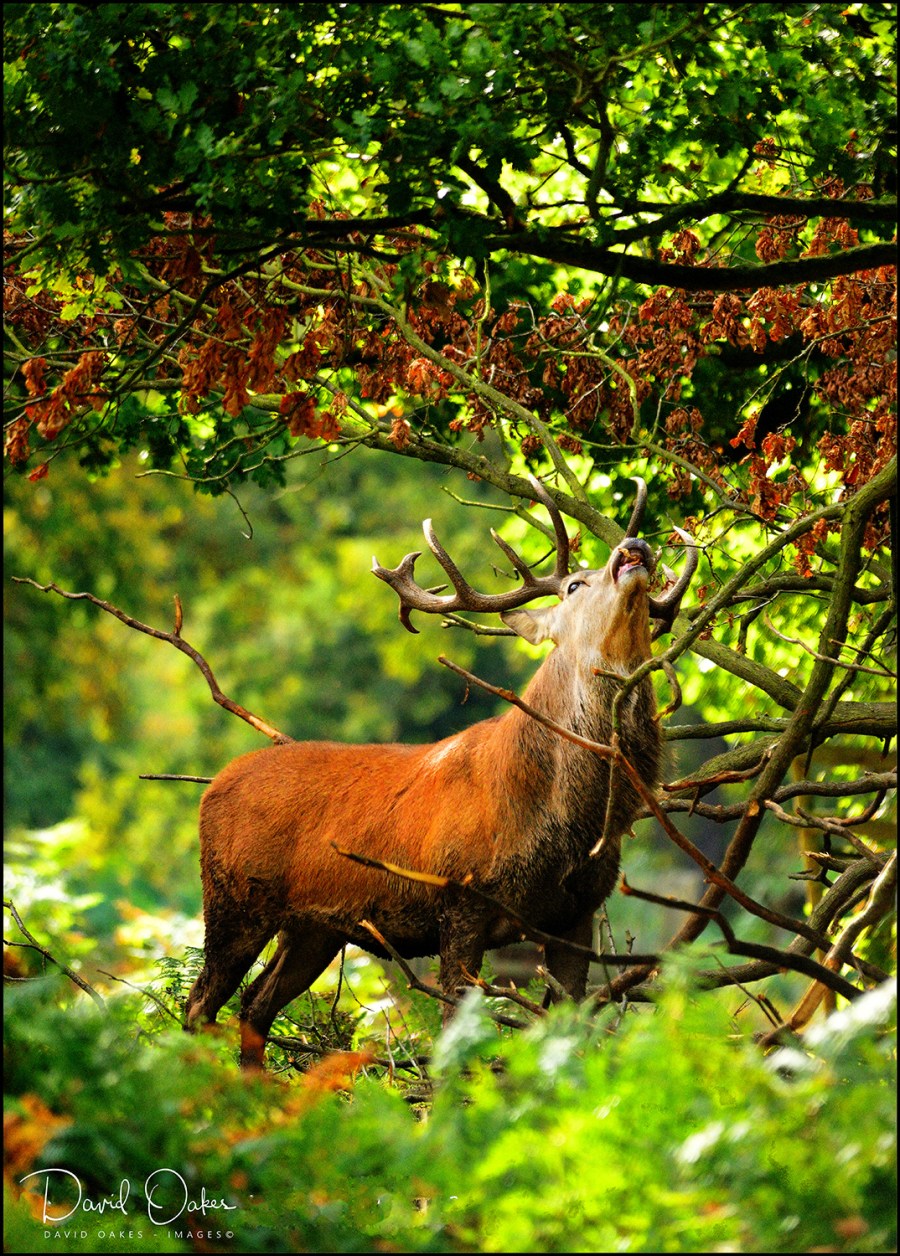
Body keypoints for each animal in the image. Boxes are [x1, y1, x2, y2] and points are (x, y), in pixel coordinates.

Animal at [184, 479, 696, 1068]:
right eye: (573, 585)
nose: (633, 545)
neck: (562, 819)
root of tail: (212, 787)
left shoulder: (578, 911)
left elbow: (569, 1034)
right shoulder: (460, 903)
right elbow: (456, 1038)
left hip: (312, 927)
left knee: (254, 1005)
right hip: (234, 900)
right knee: (200, 1005)